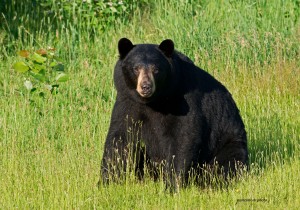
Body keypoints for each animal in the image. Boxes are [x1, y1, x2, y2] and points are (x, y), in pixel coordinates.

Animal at [101, 38, 248, 192]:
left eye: (156, 69)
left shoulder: (182, 100)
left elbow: (183, 136)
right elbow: (120, 137)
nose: (146, 86)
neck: (154, 101)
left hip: (228, 143)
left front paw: (172, 185)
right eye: (136, 68)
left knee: (228, 163)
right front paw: (107, 181)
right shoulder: (128, 101)